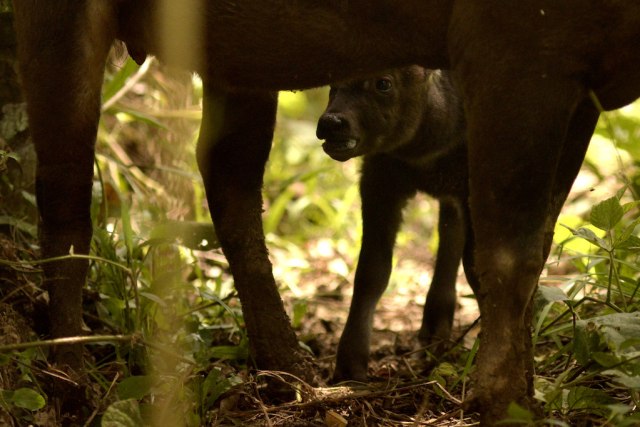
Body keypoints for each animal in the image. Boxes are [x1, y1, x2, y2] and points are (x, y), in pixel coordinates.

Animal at [316, 68, 470, 382]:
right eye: (331, 82)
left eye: (383, 83)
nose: (331, 122)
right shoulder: (380, 179)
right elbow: (371, 272)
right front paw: (350, 365)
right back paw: (432, 337)